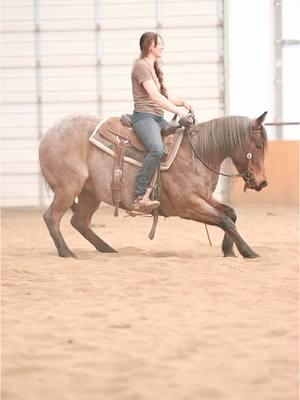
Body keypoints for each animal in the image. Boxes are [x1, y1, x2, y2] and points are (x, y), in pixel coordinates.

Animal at [39, 110, 268, 260]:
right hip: (69, 188)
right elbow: (224, 220)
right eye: (258, 146)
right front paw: (249, 252)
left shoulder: (203, 197)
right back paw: (66, 252)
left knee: (79, 222)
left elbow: (231, 214)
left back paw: (107, 249)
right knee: (52, 217)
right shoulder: (188, 205)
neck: (197, 153)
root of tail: (47, 135)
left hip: (89, 193)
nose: (262, 182)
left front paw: (229, 250)